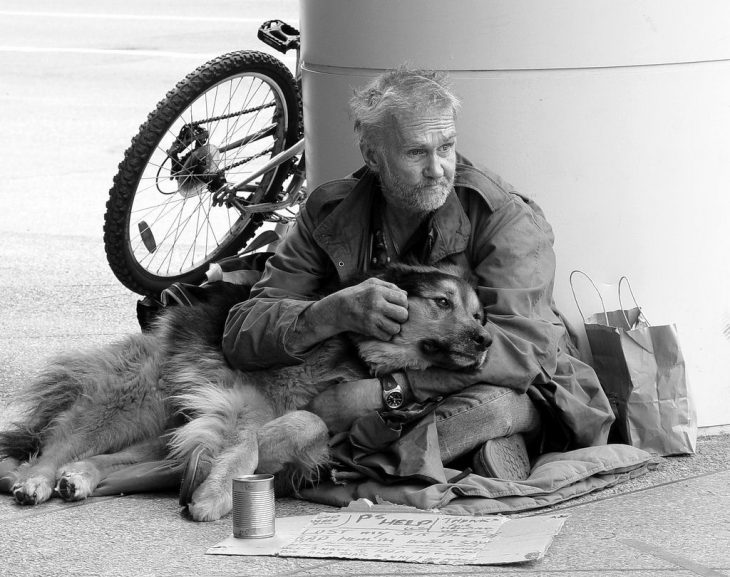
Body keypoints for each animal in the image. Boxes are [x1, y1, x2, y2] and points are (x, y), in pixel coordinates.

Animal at [1, 264, 490, 520]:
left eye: (478, 315)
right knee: (57, 445)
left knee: (106, 459)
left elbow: (306, 424)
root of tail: (159, 328)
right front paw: (217, 494)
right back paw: (35, 481)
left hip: (168, 431)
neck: (354, 348)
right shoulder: (242, 402)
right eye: (442, 303)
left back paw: (78, 478)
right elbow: (261, 438)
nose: (486, 340)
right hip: (133, 402)